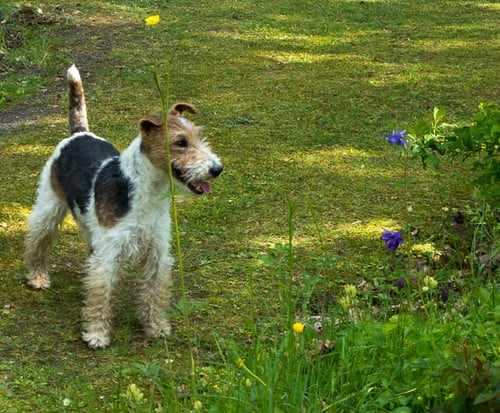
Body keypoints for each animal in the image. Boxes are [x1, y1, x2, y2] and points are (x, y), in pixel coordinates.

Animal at [23, 64, 223, 348]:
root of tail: (79, 133)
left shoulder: (157, 252)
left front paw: (156, 326)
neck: (145, 192)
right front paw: (96, 334)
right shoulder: (108, 255)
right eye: (180, 142)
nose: (216, 169)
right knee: (36, 241)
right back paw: (38, 277)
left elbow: (154, 293)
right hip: (48, 207)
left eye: (199, 136)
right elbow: (100, 297)